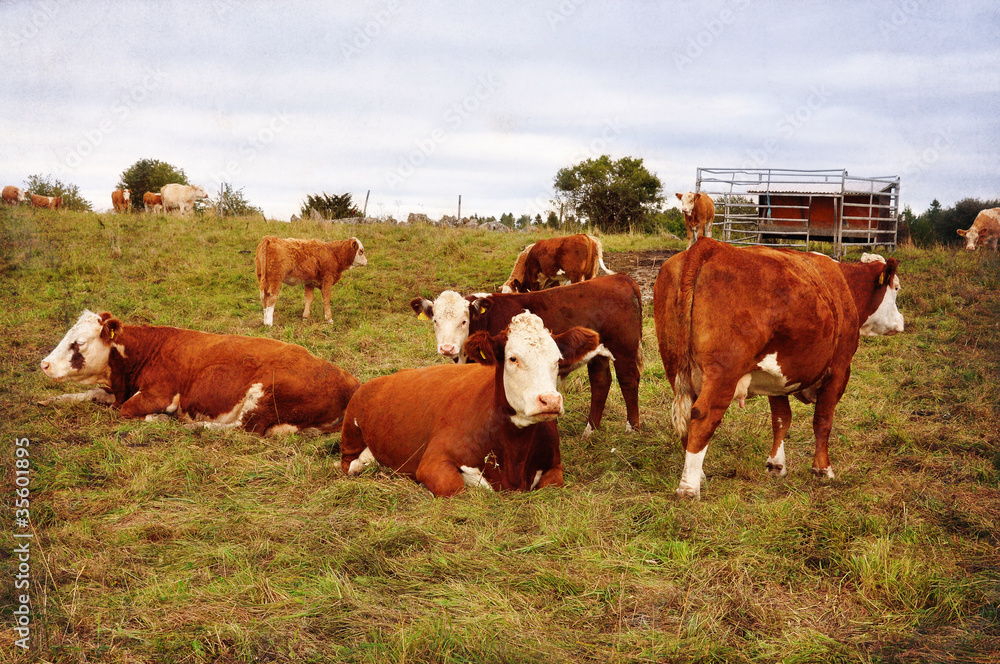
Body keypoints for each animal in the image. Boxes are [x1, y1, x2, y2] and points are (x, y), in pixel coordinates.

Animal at [39, 312, 360, 436]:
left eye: (78, 343)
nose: (44, 364)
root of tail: (350, 381)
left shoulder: (159, 394)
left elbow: (127, 410)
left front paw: (159, 418)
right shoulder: (117, 391)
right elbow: (90, 393)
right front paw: (50, 401)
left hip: (264, 397)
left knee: (241, 428)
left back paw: (185, 424)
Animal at [340, 314, 604, 496]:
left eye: (557, 360)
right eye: (513, 358)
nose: (550, 400)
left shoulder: (554, 465)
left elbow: (552, 484)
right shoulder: (432, 461)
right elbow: (454, 486)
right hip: (351, 432)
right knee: (349, 464)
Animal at [410, 272, 644, 434]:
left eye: (463, 321)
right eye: (435, 320)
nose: (447, 348)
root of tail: (620, 278)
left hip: (624, 349)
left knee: (628, 381)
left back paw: (632, 429)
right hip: (598, 353)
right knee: (601, 382)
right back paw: (590, 431)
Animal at [652, 239, 904, 498]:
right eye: (896, 288)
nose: (901, 322)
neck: (843, 286)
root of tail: (709, 246)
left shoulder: (777, 377)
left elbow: (781, 419)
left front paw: (776, 465)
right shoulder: (840, 368)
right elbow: (823, 420)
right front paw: (823, 469)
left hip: (675, 367)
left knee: (685, 416)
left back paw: (699, 475)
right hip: (722, 374)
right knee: (702, 416)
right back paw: (689, 488)